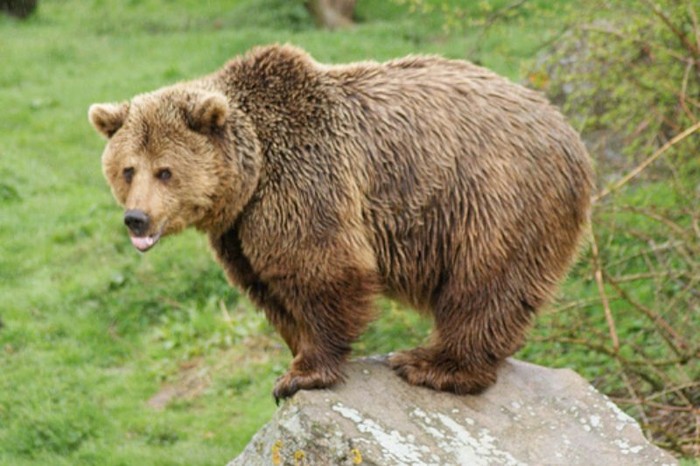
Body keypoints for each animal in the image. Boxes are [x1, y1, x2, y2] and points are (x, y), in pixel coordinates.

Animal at [89, 44, 593, 401]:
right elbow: (267, 287)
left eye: (165, 171)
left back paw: (431, 364)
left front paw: (303, 374)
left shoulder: (304, 179)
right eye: (128, 169)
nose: (136, 218)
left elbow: (321, 267)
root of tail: (567, 128)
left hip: (497, 196)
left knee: (485, 285)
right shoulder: (238, 230)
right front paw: (293, 357)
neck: (250, 175)